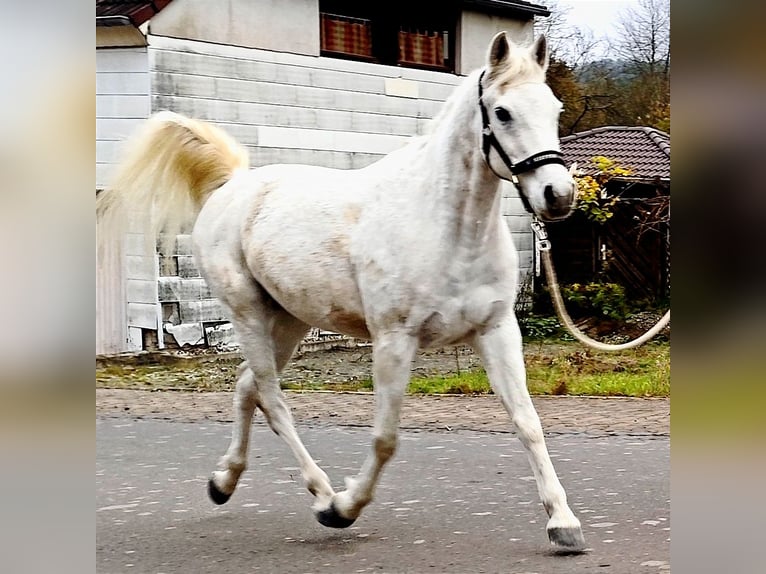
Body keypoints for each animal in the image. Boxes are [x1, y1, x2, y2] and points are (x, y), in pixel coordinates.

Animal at [99, 32, 584, 552]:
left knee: (247, 388)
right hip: (247, 313)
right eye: (502, 112)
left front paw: (563, 523)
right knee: (272, 399)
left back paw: (224, 482)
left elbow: (528, 423)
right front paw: (346, 508)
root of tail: (234, 185)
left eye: (554, 108)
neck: (444, 228)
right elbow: (385, 438)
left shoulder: (496, 331)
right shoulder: (394, 340)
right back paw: (322, 495)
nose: (557, 196)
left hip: (289, 320)